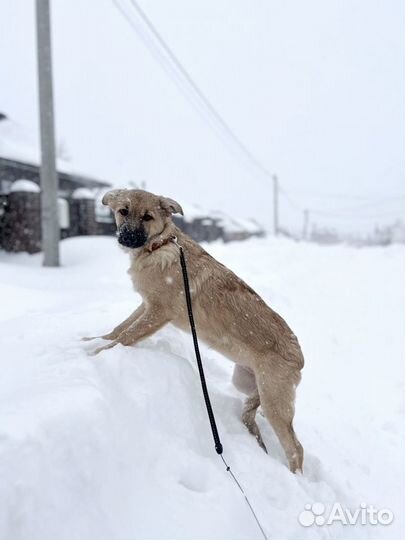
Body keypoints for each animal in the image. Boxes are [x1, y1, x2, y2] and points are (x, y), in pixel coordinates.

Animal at [84, 189, 304, 472]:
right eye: (123, 211)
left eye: (148, 217)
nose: (128, 237)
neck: (159, 245)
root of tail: (299, 357)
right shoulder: (146, 305)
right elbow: (119, 328)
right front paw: (90, 341)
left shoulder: (158, 312)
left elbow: (125, 336)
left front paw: (97, 354)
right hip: (247, 384)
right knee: (251, 413)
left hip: (275, 402)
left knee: (295, 448)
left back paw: (295, 475)